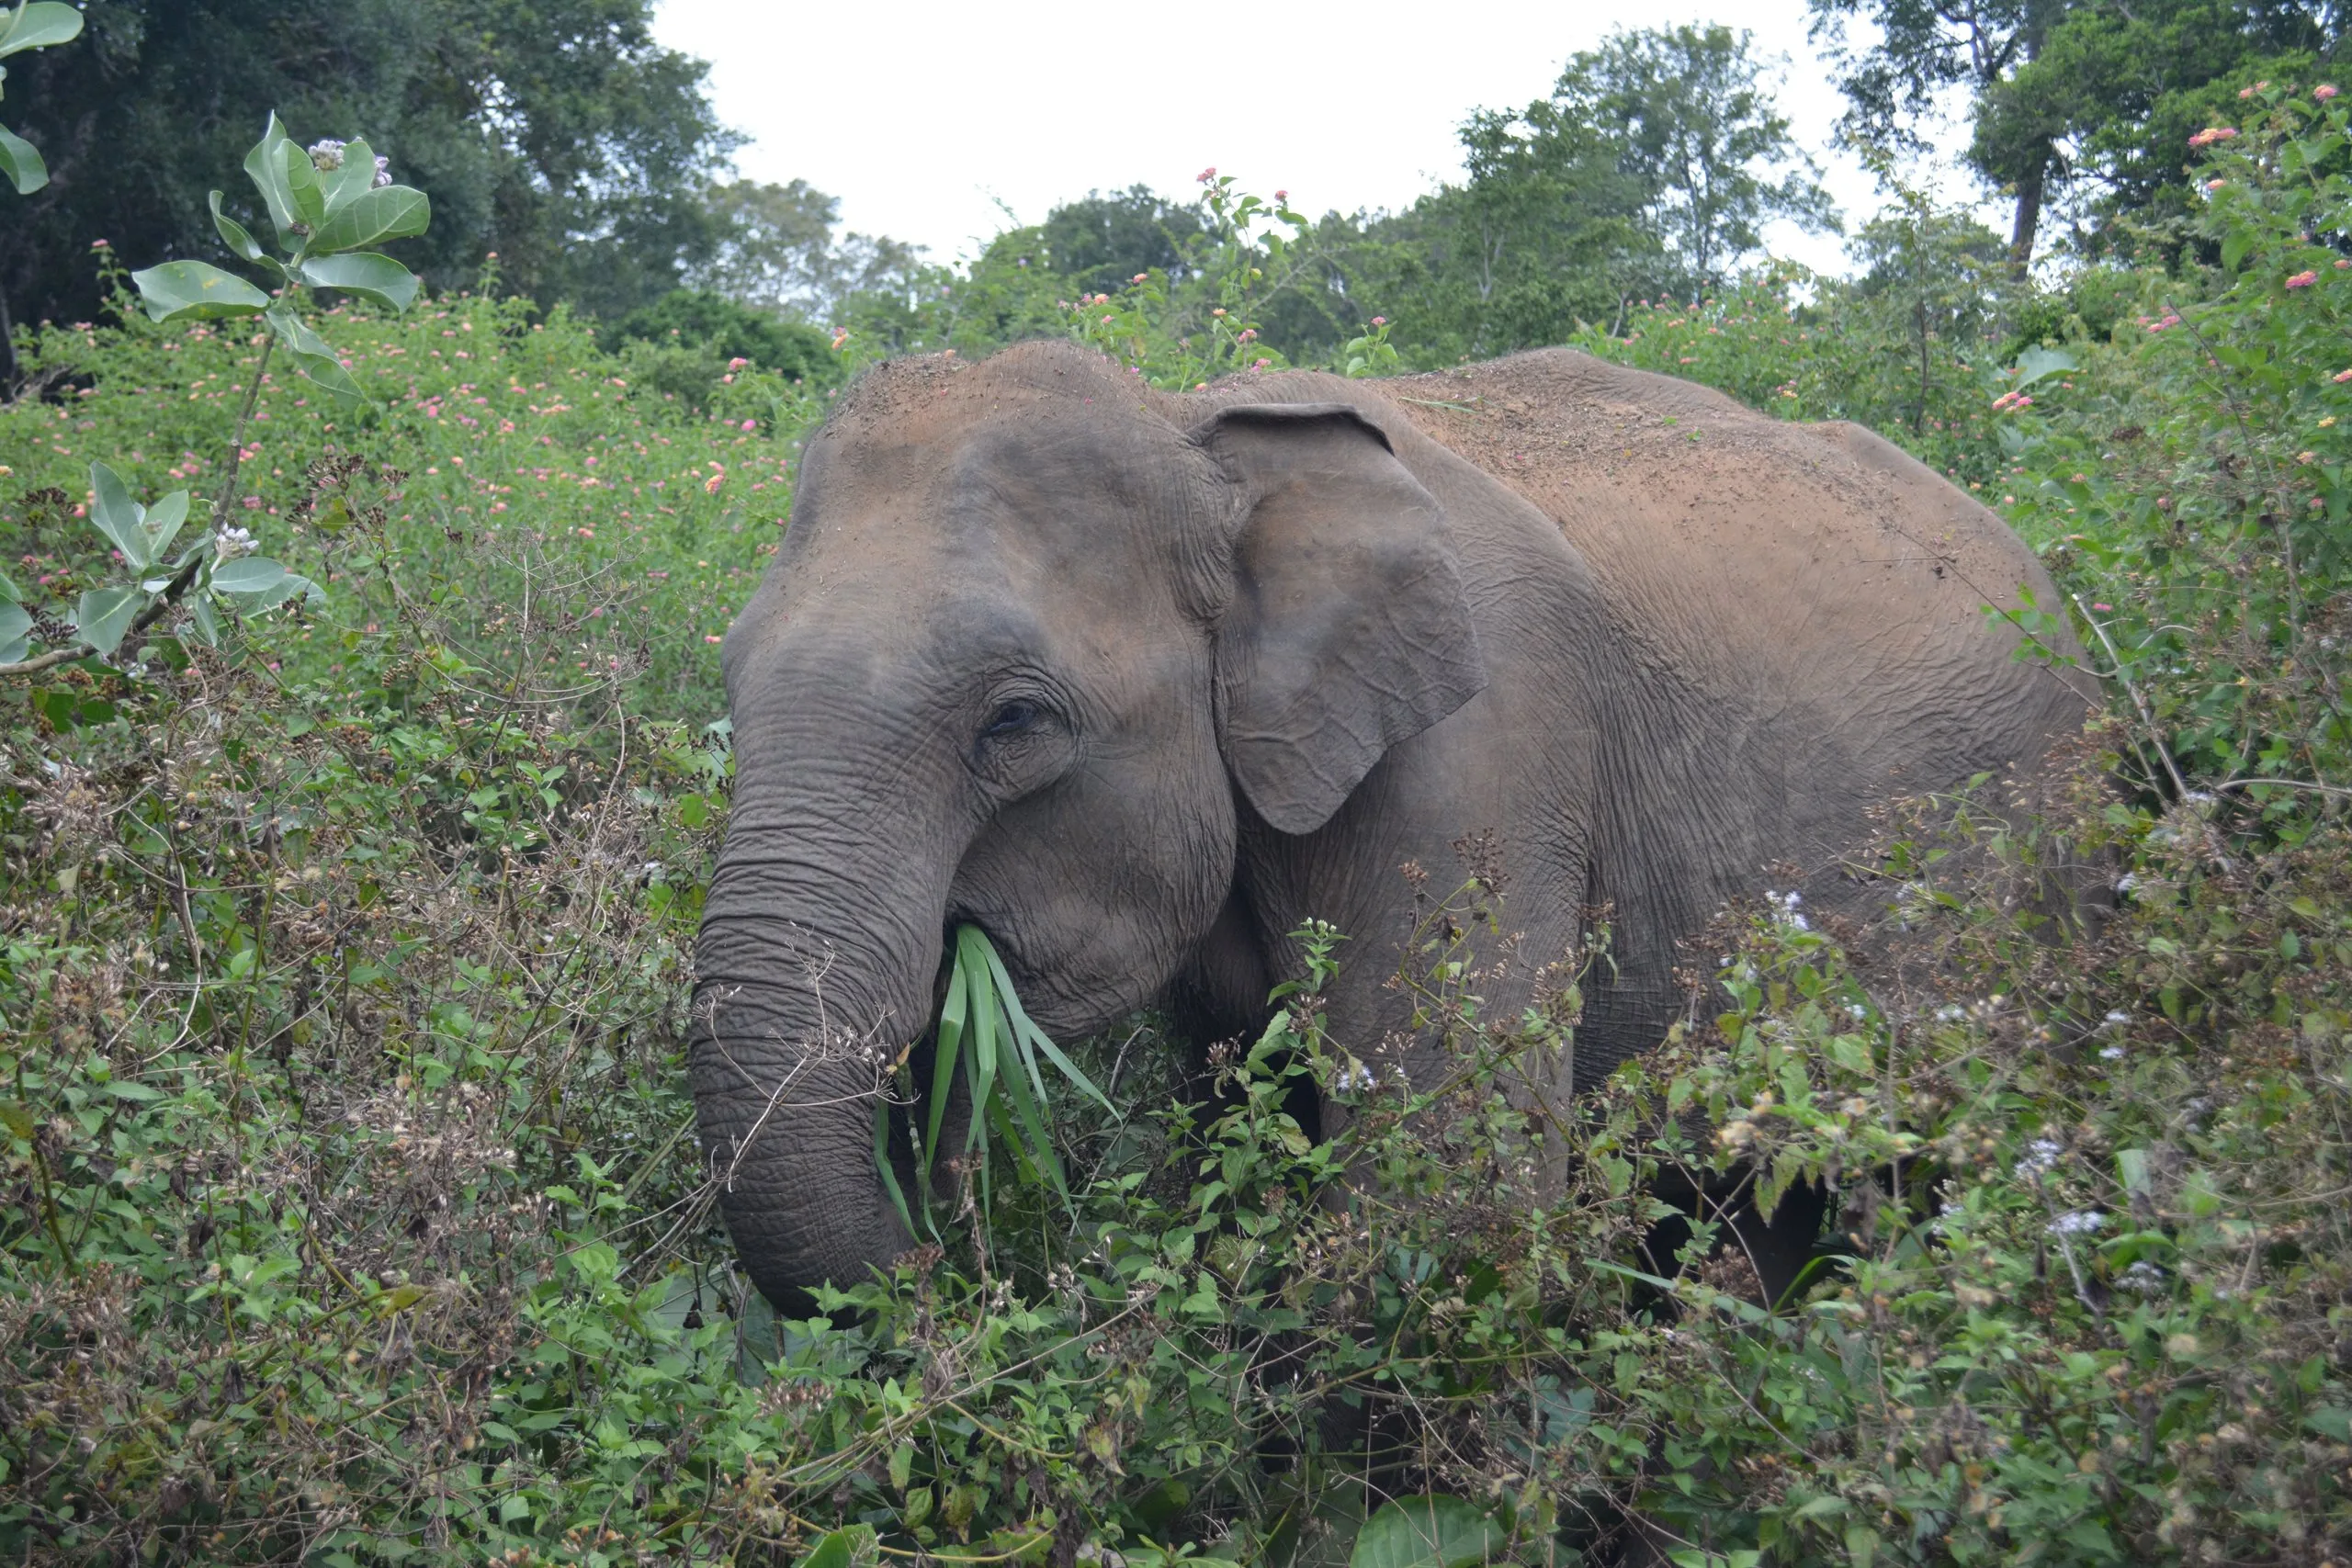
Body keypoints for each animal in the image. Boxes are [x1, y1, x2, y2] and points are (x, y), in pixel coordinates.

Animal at [691, 338, 2095, 1310]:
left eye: (1015, 720)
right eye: (731, 683)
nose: (961, 1268)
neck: (1196, 426)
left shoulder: (1485, 756)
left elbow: (1451, 1213)